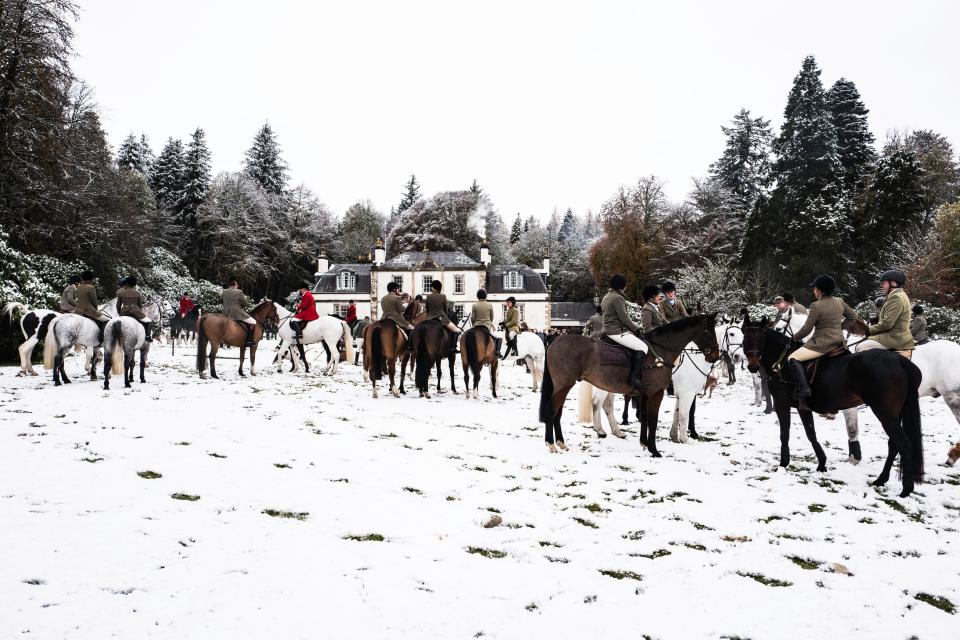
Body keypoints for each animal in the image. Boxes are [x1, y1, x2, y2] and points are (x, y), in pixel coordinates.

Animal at [536, 316, 716, 456]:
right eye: (709, 331)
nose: (715, 355)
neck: (660, 351)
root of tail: (556, 338)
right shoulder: (661, 393)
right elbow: (658, 419)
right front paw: (656, 450)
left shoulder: (646, 394)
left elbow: (647, 417)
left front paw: (645, 443)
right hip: (564, 385)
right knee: (553, 410)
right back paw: (552, 444)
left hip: (566, 386)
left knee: (560, 411)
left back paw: (562, 442)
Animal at [740, 316, 928, 500]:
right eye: (745, 337)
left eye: (761, 338)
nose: (753, 366)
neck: (783, 363)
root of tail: (900, 360)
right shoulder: (803, 408)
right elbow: (811, 434)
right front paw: (822, 463)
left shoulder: (781, 403)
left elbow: (784, 433)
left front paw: (783, 463)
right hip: (895, 414)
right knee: (893, 444)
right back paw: (881, 479)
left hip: (885, 413)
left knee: (903, 443)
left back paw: (906, 489)